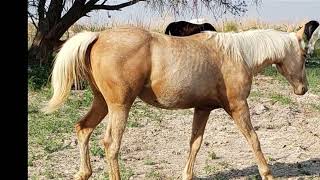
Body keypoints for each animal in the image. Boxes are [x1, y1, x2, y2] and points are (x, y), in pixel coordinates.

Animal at [43, 20, 320, 179]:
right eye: (304, 55)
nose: (303, 88)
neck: (237, 54)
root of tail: (97, 36)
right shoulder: (238, 107)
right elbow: (254, 140)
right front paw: (267, 174)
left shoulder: (203, 109)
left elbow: (194, 144)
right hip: (119, 106)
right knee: (111, 144)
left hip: (101, 102)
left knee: (83, 129)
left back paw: (83, 173)